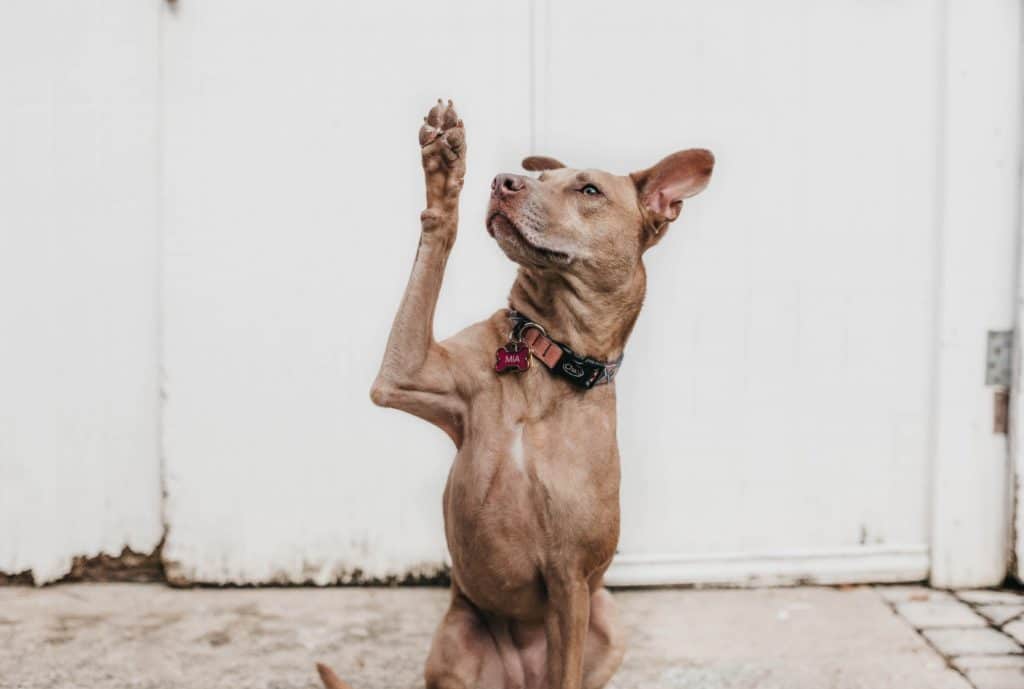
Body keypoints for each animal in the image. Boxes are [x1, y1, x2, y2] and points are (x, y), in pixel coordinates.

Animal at [317, 100, 712, 687]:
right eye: (541, 178)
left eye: (589, 189)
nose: (504, 181)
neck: (545, 356)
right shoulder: (403, 373)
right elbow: (434, 242)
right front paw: (444, 171)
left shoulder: (570, 580)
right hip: (456, 640)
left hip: (606, 619)